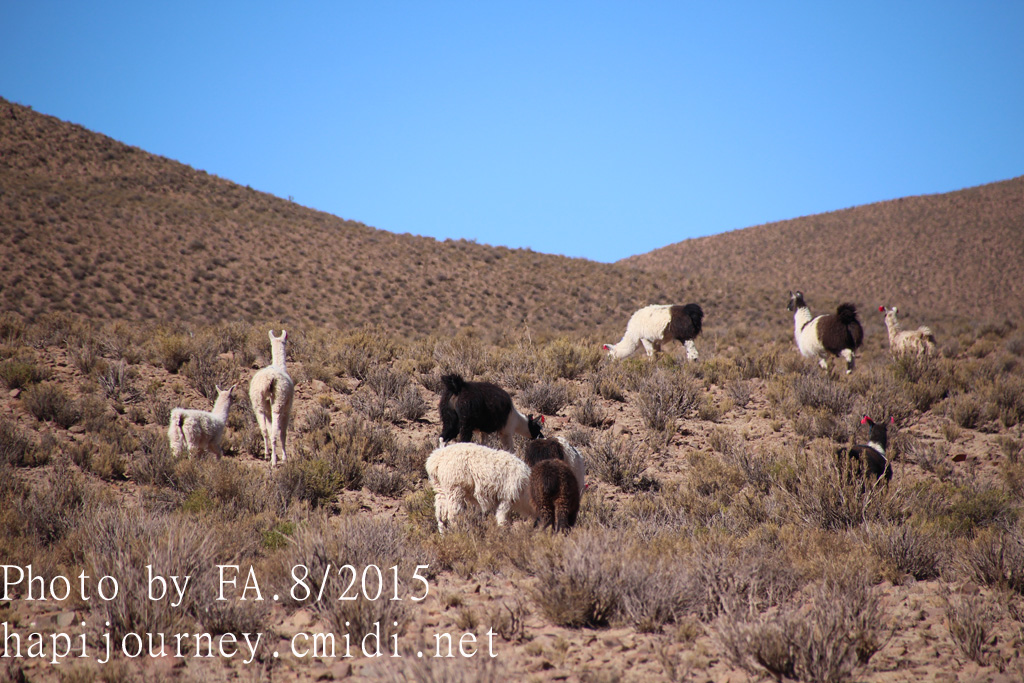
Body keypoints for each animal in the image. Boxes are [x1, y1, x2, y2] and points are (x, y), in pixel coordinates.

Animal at [249, 329, 295, 467]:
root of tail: (269, 379)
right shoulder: (287, 410)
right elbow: (283, 433)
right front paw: (284, 457)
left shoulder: (268, 411)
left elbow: (268, 430)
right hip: (278, 404)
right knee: (275, 432)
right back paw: (274, 461)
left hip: (258, 404)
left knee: (264, 430)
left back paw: (267, 455)